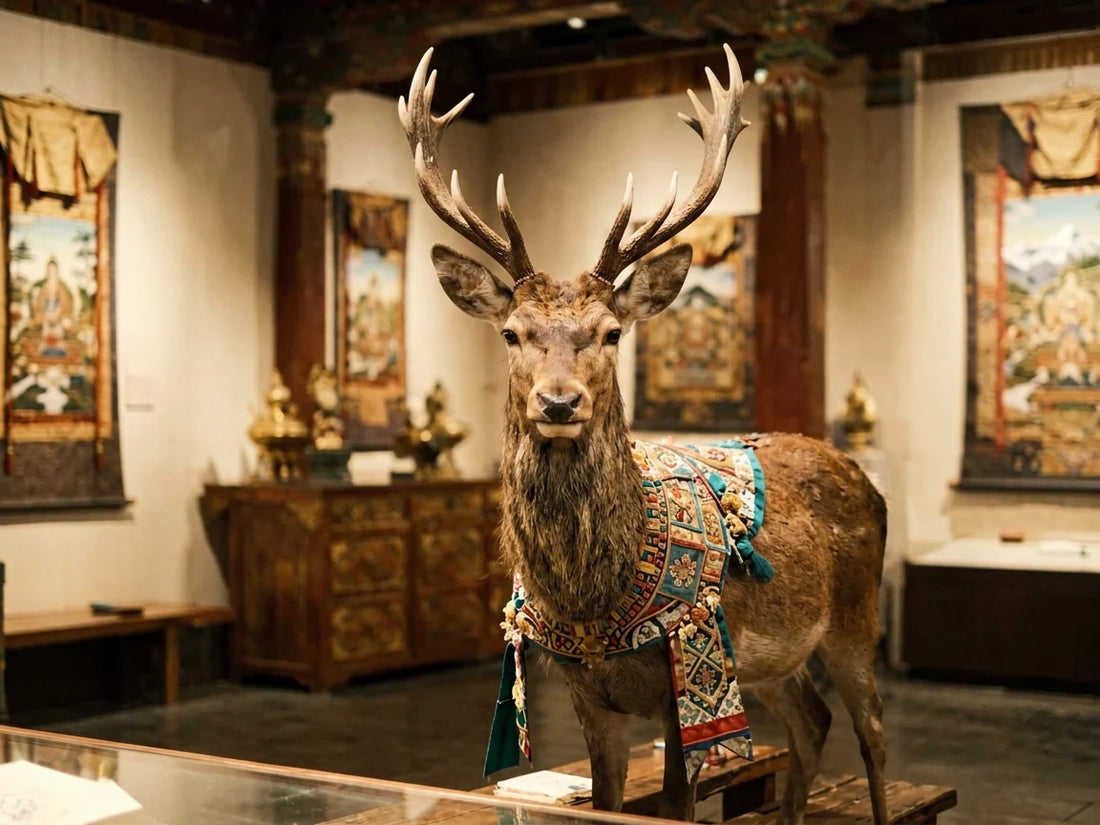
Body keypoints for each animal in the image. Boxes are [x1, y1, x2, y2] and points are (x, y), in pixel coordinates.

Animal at [399, 45, 888, 825]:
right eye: (512, 333)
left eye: (610, 332)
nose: (558, 402)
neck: (590, 598)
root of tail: (866, 482)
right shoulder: (587, 691)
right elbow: (604, 797)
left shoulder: (681, 687)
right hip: (772, 661)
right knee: (813, 723)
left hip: (853, 619)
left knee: (871, 732)